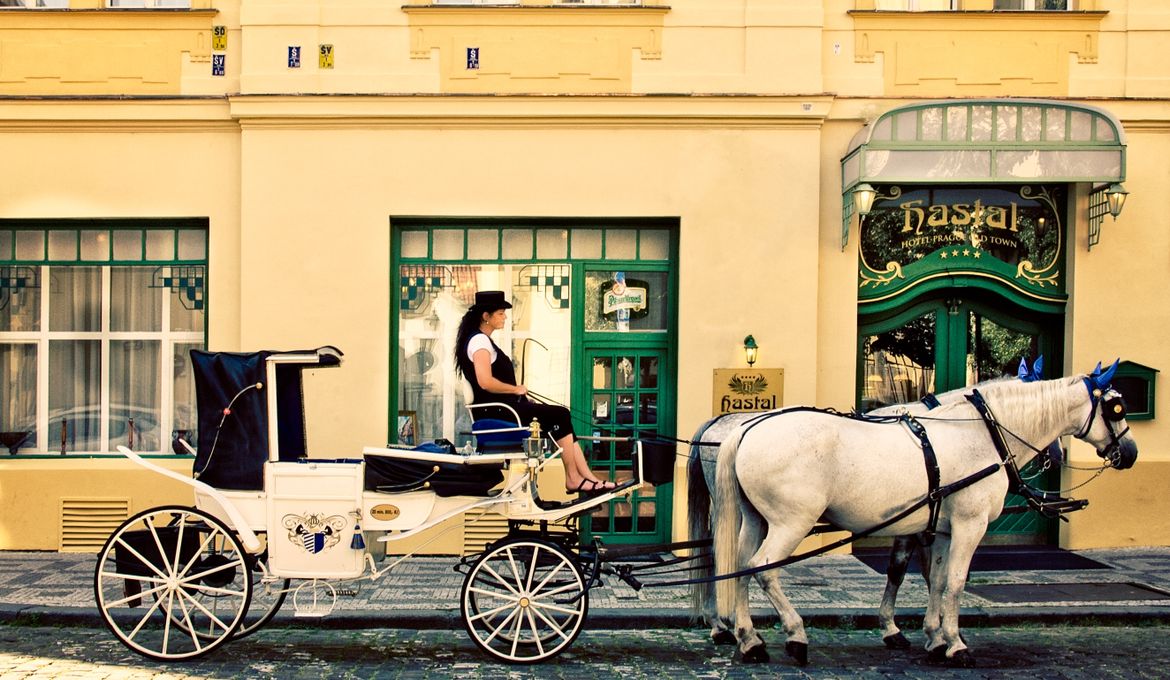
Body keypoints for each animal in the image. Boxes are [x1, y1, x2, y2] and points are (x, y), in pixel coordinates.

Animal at [711, 367, 1132, 664]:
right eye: (1116, 408)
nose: (1130, 452)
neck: (983, 433)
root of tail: (746, 429)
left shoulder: (942, 528)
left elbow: (938, 579)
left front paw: (934, 636)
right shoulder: (970, 524)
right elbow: (955, 582)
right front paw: (956, 644)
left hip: (757, 519)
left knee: (741, 567)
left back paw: (749, 639)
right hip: (791, 522)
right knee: (764, 568)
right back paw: (795, 634)